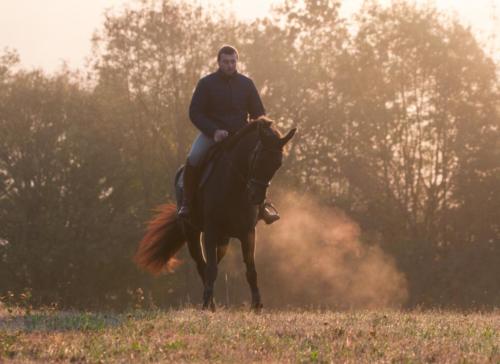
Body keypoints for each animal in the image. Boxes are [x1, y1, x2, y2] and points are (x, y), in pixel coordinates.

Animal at [134, 118, 296, 310]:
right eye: (258, 159)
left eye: (277, 164)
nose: (256, 197)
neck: (234, 187)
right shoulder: (210, 232)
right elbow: (211, 269)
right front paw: (206, 305)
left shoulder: (248, 232)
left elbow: (250, 269)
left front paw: (256, 305)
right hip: (192, 233)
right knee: (202, 264)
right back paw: (209, 304)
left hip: (224, 239)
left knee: (211, 263)